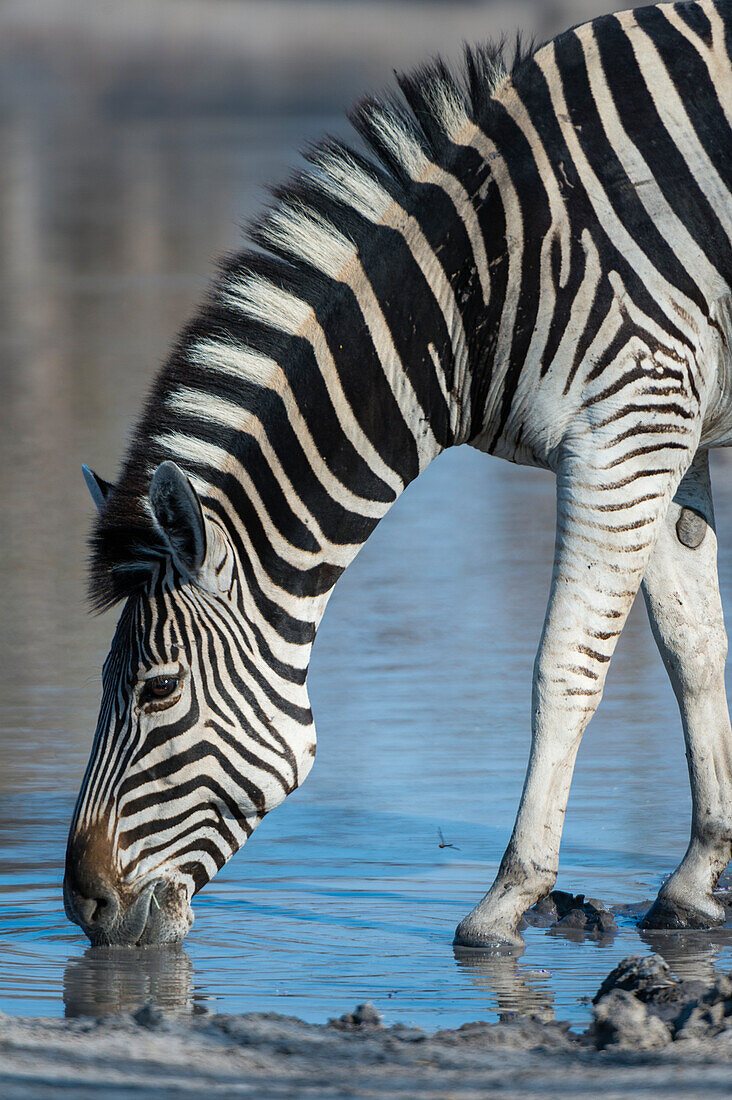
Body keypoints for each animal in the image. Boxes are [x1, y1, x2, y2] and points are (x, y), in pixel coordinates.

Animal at [64, 0, 732, 946]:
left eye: (158, 689)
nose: (82, 905)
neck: (481, 284)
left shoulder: (628, 422)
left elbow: (563, 665)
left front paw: (506, 900)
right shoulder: (669, 430)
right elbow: (693, 646)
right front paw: (695, 878)